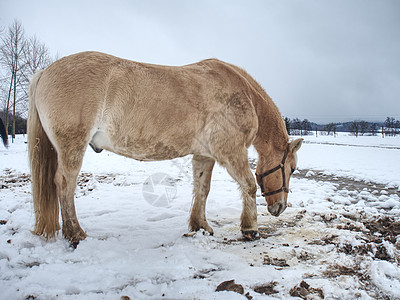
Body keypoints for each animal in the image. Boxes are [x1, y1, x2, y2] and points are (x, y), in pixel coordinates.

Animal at [27, 50, 304, 245]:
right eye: (291, 168)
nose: (280, 207)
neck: (243, 93)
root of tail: (46, 71)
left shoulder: (204, 155)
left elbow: (202, 189)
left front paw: (200, 226)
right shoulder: (231, 152)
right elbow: (248, 185)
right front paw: (250, 229)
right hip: (72, 146)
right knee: (65, 183)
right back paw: (75, 234)